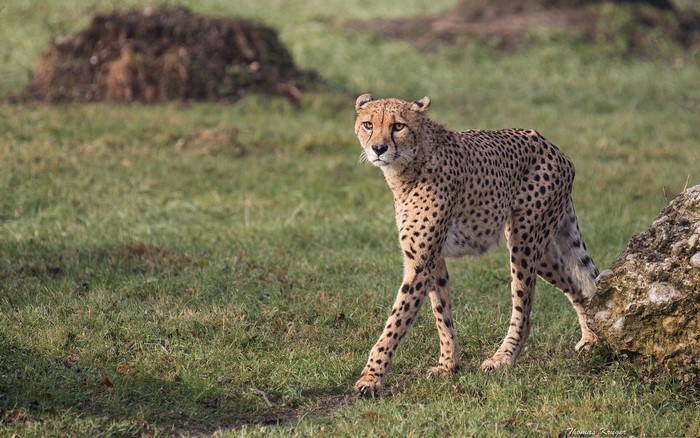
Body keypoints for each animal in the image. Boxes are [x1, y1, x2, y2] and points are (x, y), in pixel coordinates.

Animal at [352, 94, 599, 396]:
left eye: (398, 126)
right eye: (368, 124)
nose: (378, 148)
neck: (410, 165)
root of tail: (551, 145)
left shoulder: (421, 264)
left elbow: (396, 321)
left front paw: (372, 376)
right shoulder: (433, 260)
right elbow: (441, 313)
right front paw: (448, 364)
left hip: (524, 242)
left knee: (524, 307)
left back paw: (504, 358)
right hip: (543, 253)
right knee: (578, 286)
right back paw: (591, 337)